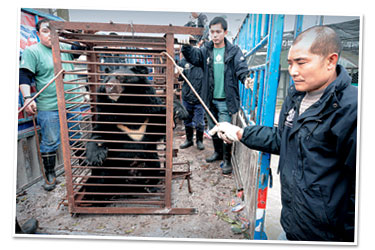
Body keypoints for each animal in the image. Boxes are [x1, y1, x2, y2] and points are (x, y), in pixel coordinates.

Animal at [85, 66, 188, 203]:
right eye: (106, 80)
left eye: (120, 77)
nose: (109, 86)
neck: (127, 107)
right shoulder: (108, 117)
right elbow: (99, 133)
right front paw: (95, 157)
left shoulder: (148, 114)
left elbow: (161, 122)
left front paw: (179, 110)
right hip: (110, 169)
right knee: (99, 178)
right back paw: (99, 196)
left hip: (150, 161)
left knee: (154, 169)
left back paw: (151, 187)